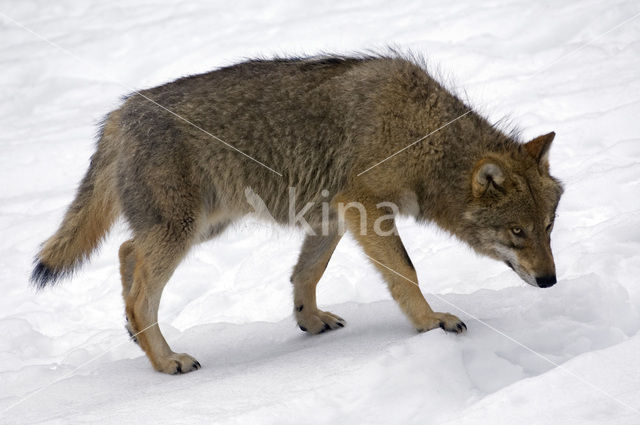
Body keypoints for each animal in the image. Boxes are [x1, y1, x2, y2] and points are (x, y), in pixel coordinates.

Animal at [31, 53, 560, 374]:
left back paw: (134, 336)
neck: (421, 138)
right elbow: (406, 274)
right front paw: (432, 323)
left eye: (548, 227)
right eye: (517, 231)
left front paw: (310, 321)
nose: (551, 281)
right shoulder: (365, 209)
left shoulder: (334, 216)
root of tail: (118, 115)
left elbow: (307, 274)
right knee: (141, 293)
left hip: (202, 227)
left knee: (125, 253)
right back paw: (167, 362)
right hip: (183, 232)